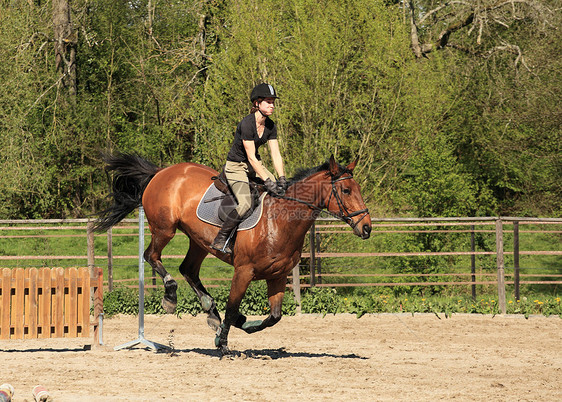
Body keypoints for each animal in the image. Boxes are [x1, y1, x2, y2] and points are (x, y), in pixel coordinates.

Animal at [94, 152, 370, 354]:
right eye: (346, 191)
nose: (366, 227)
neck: (280, 221)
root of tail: (161, 172)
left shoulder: (277, 276)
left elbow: (273, 317)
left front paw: (240, 324)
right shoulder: (243, 271)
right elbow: (233, 306)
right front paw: (223, 343)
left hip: (199, 241)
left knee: (188, 270)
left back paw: (210, 312)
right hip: (165, 229)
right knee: (152, 256)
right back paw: (171, 296)